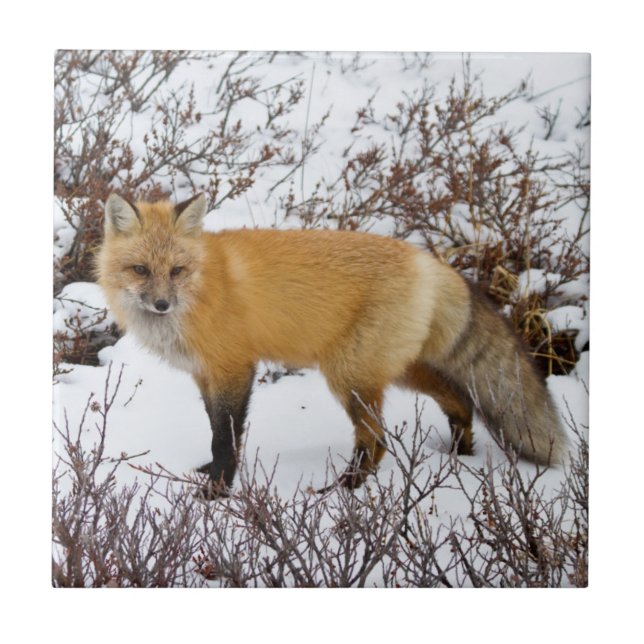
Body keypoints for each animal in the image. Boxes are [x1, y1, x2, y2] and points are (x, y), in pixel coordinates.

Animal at [96, 193, 567, 499]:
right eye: (140, 269)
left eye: (176, 271)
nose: (161, 304)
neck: (203, 289)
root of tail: (429, 261)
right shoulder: (205, 375)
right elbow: (216, 429)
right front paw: (211, 475)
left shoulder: (234, 368)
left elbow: (225, 437)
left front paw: (217, 492)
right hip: (395, 369)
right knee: (458, 398)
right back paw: (459, 454)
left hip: (349, 376)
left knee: (377, 440)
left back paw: (346, 490)